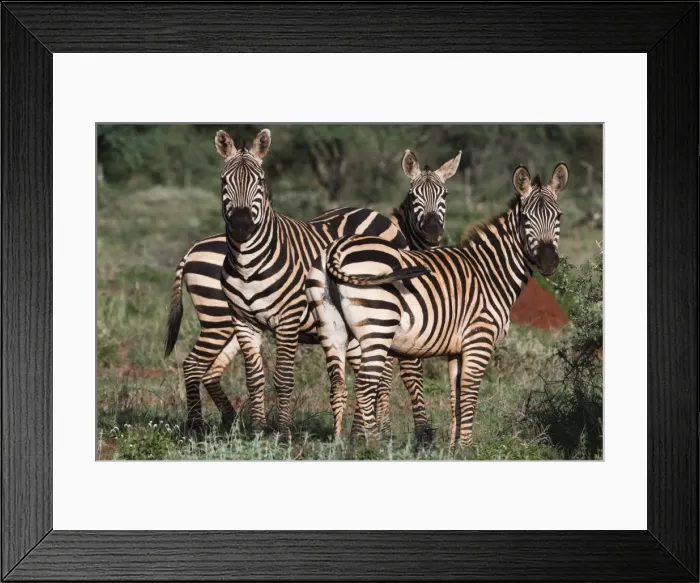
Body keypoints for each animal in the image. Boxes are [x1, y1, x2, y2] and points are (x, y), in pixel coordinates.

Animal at [164, 126, 460, 436]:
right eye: (414, 196)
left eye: (445, 194)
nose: (432, 231)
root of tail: (191, 250)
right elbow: (396, 374)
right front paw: (395, 429)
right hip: (218, 320)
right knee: (194, 365)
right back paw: (197, 426)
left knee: (208, 370)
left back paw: (228, 422)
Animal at [306, 162, 568, 447]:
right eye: (526, 219)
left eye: (558, 217)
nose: (548, 261)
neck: (490, 272)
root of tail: (337, 249)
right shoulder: (479, 338)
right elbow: (469, 392)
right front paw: (466, 448)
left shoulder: (456, 348)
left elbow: (456, 394)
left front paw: (453, 448)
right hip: (378, 326)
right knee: (365, 386)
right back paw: (373, 447)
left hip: (332, 328)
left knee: (338, 385)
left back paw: (340, 445)